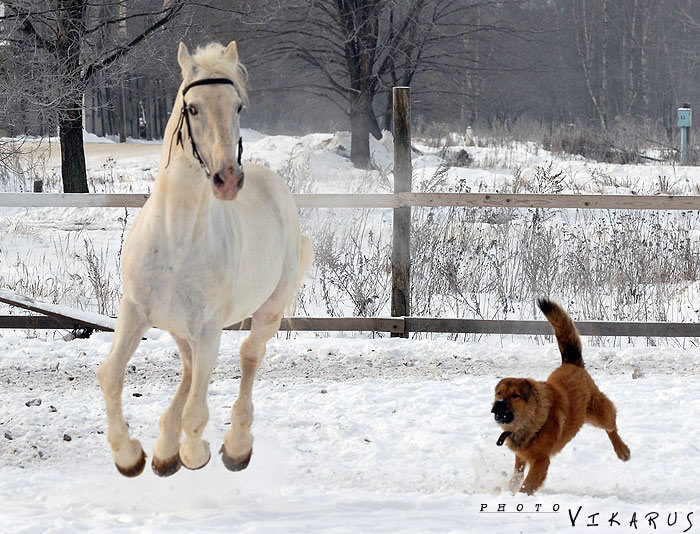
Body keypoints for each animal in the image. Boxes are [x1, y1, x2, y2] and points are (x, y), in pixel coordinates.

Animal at [98, 40, 312, 478]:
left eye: (238, 106)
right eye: (192, 108)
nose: (227, 179)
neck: (176, 239)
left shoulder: (210, 327)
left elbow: (197, 411)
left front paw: (194, 453)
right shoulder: (134, 310)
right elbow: (110, 376)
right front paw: (129, 456)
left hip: (266, 311)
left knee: (248, 356)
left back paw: (236, 446)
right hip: (181, 329)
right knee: (189, 369)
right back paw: (164, 450)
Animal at [490, 300, 632, 496]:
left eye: (515, 395)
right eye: (499, 393)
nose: (497, 405)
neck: (532, 419)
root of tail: (571, 363)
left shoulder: (541, 460)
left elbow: (527, 485)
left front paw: (518, 497)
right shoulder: (521, 457)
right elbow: (516, 477)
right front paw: (509, 491)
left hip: (599, 413)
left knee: (612, 426)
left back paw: (622, 450)